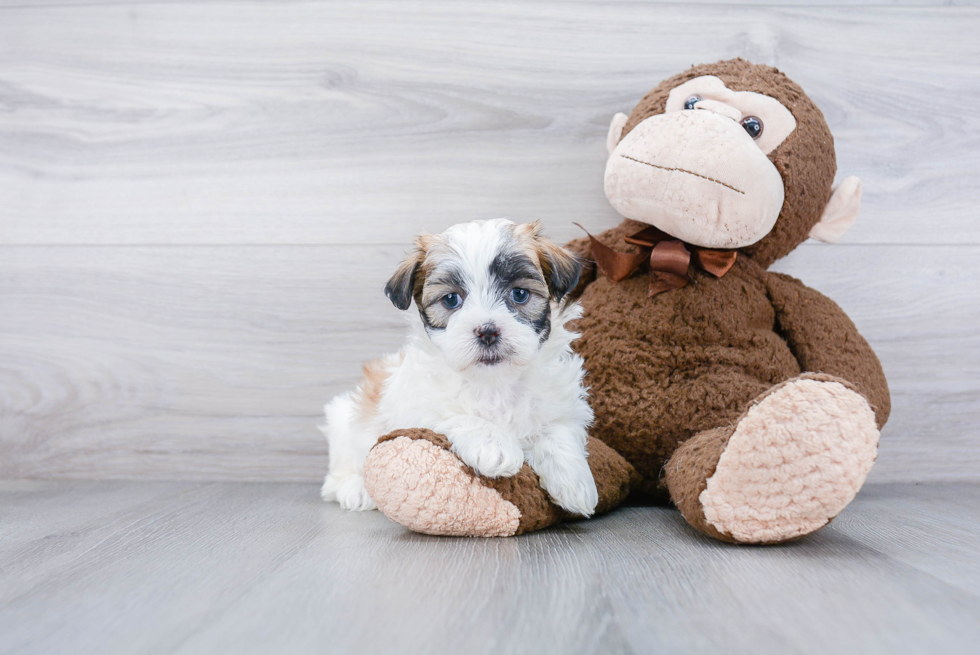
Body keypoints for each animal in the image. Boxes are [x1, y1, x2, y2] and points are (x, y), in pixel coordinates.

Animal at [322, 220, 596, 516]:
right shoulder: (415, 406)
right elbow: (451, 413)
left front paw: (574, 480)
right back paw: (355, 488)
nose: (487, 331)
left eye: (519, 294)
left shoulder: (562, 403)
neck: (494, 383)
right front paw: (494, 446)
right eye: (451, 299)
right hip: (344, 419)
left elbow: (558, 429)